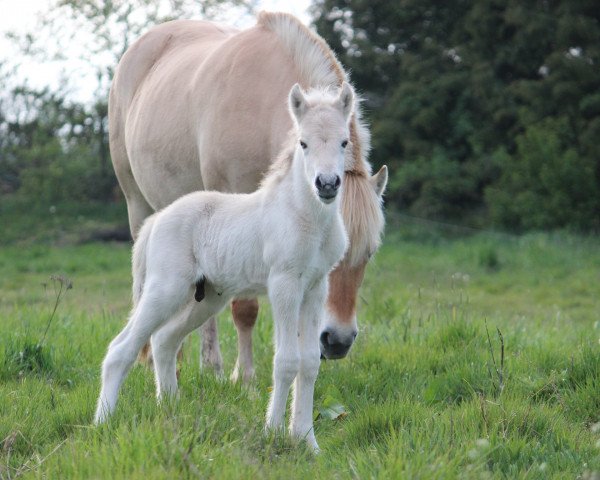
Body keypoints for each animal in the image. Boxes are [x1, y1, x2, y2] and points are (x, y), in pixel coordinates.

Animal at [95, 81, 356, 450]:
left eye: (344, 141)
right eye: (303, 143)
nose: (327, 184)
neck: (304, 217)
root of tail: (156, 220)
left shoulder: (316, 287)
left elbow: (309, 363)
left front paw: (307, 440)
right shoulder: (284, 284)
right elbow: (286, 361)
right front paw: (273, 433)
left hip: (206, 297)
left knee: (163, 340)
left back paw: (170, 410)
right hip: (165, 289)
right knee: (122, 348)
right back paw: (102, 422)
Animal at [109, 11, 386, 380]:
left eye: (368, 254)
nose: (337, 341)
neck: (259, 103)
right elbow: (246, 308)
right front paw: (246, 377)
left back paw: (208, 366)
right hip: (139, 206)